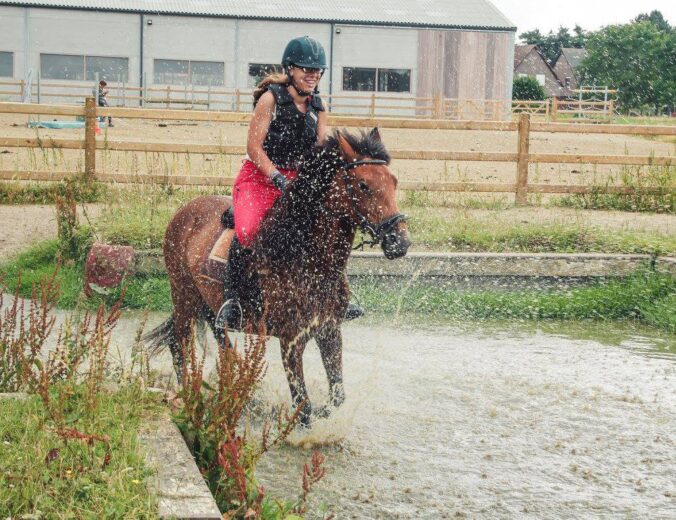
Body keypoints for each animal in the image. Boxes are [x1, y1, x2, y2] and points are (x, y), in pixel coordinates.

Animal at [145, 128, 410, 424]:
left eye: (394, 181)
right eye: (363, 185)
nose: (399, 241)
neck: (309, 261)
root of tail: (186, 210)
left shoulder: (329, 330)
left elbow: (337, 397)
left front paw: (324, 412)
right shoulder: (290, 340)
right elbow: (303, 408)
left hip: (210, 306)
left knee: (223, 346)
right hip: (184, 297)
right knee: (179, 346)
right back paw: (191, 399)